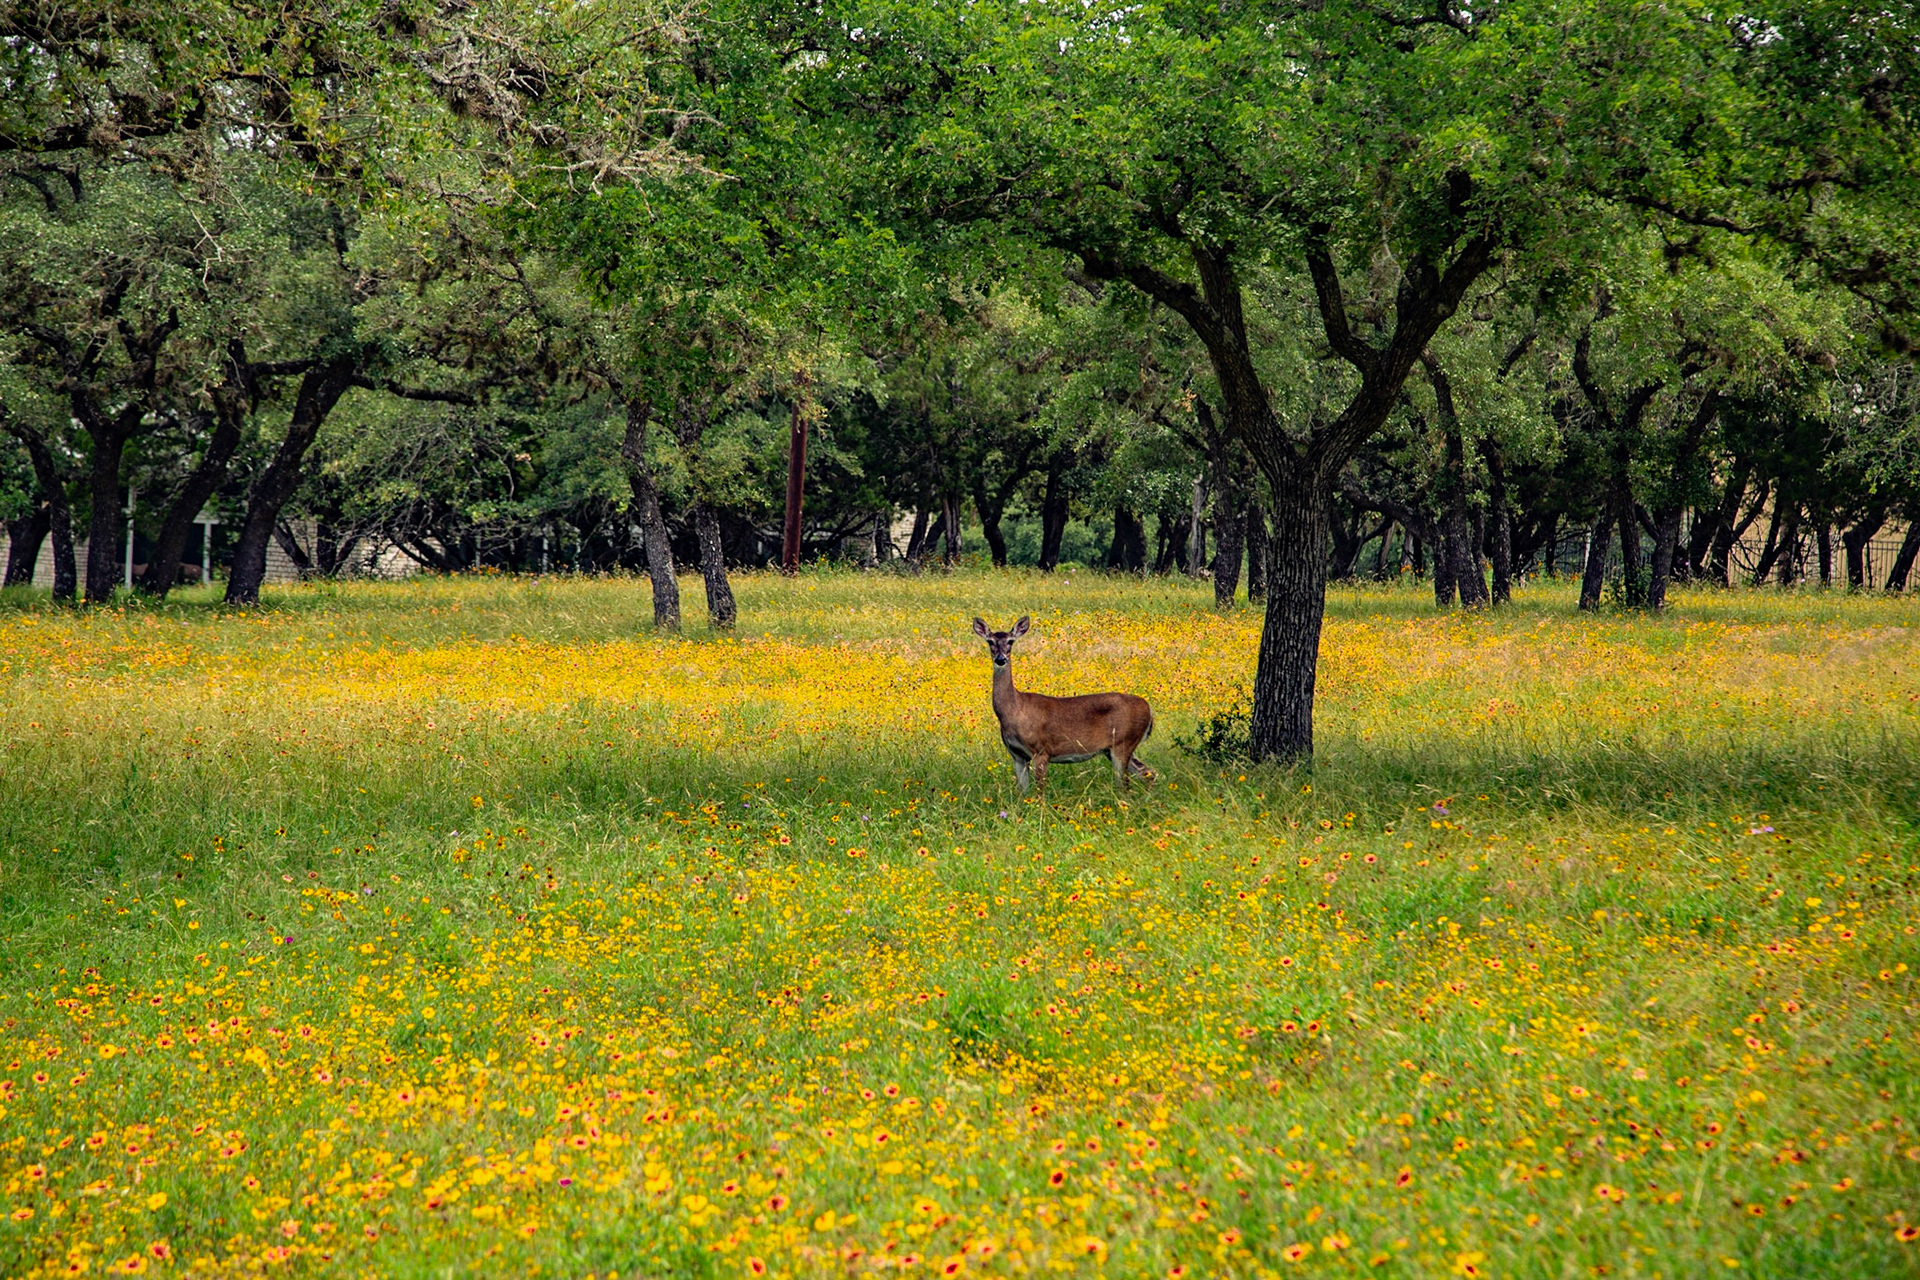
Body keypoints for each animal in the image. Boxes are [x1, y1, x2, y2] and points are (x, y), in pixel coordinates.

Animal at [972, 615, 1155, 794]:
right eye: (990, 642)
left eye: (1010, 641)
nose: (1000, 659)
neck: (1014, 710)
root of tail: (1148, 709)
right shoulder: (1017, 755)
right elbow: (1022, 794)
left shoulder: (1041, 750)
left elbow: (1039, 794)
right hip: (1113, 748)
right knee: (1148, 773)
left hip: (1124, 741)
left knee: (1126, 784)